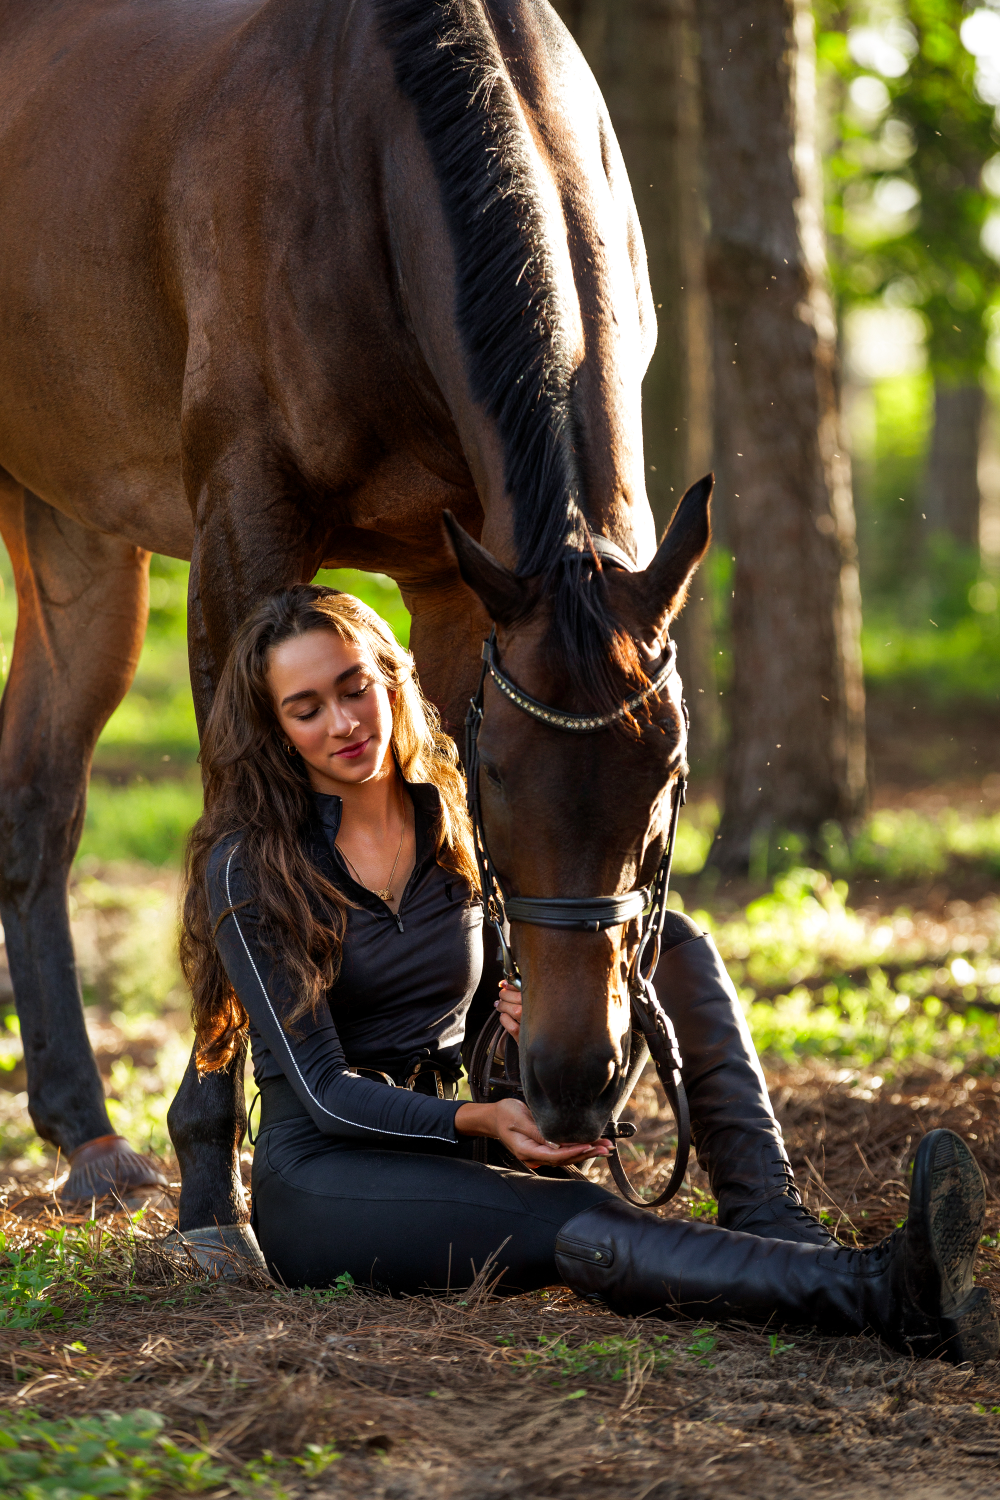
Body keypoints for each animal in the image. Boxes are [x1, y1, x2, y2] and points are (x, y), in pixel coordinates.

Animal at [0, 0, 710, 1247]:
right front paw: (208, 1176)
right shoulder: (244, 536)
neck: (369, 155)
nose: (580, 1076)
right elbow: (232, 834)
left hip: (74, 534)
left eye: (666, 776)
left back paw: (85, 1134)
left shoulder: (458, 583)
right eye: (508, 777)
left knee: (35, 804)